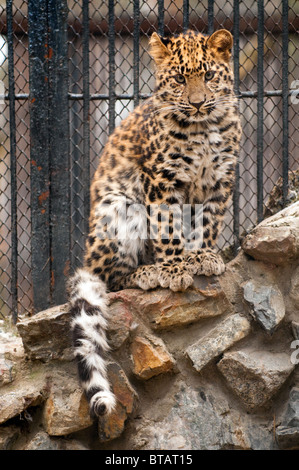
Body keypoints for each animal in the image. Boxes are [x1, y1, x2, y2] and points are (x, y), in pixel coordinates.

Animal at [67, 28, 243, 418]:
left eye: (209, 75)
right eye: (178, 79)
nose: (197, 103)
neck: (203, 127)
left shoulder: (220, 180)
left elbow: (207, 222)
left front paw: (203, 257)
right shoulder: (161, 178)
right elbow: (167, 227)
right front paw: (176, 269)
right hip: (119, 209)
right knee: (111, 280)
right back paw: (147, 272)